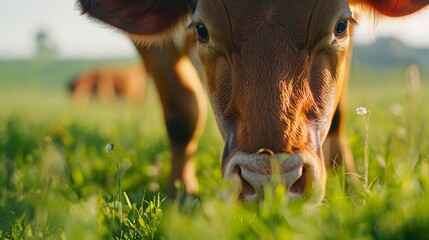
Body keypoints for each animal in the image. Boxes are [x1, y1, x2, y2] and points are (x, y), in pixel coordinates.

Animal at [77, 0, 428, 202]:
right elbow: (182, 112)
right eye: (202, 30)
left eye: (339, 26)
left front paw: (350, 183)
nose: (271, 180)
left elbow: (339, 113)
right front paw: (179, 193)